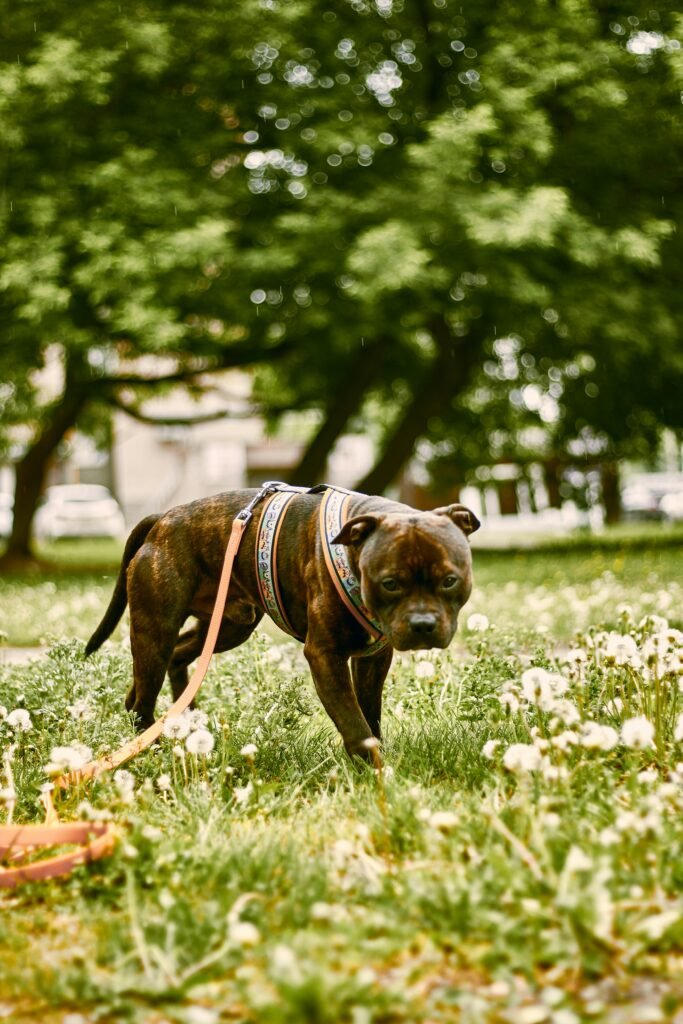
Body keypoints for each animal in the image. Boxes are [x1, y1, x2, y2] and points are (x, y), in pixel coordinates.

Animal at [87, 485, 481, 761]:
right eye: (390, 583)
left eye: (450, 580)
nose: (422, 624)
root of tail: (163, 519)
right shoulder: (325, 655)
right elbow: (354, 724)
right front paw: (375, 773)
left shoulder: (373, 659)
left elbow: (370, 716)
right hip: (156, 629)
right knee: (144, 696)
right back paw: (150, 746)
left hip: (229, 625)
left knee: (174, 660)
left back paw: (184, 719)